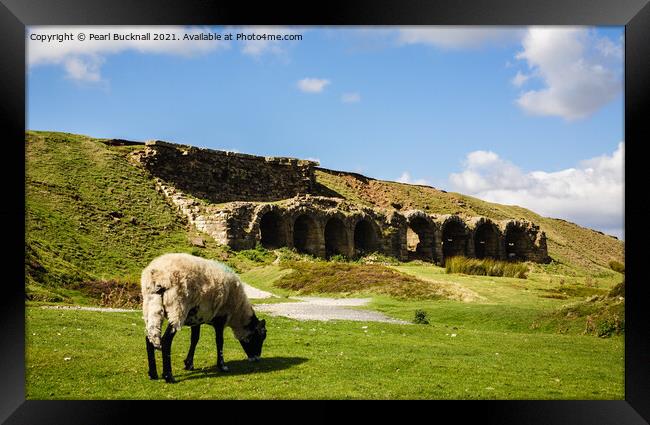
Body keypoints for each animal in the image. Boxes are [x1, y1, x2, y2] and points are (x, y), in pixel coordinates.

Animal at [140, 252, 264, 380]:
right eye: (260, 336)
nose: (257, 358)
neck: (238, 313)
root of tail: (157, 275)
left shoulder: (196, 319)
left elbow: (195, 339)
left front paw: (189, 364)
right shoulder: (221, 318)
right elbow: (220, 341)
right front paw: (222, 366)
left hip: (151, 305)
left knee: (150, 337)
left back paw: (153, 374)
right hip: (176, 307)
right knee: (166, 340)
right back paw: (168, 376)